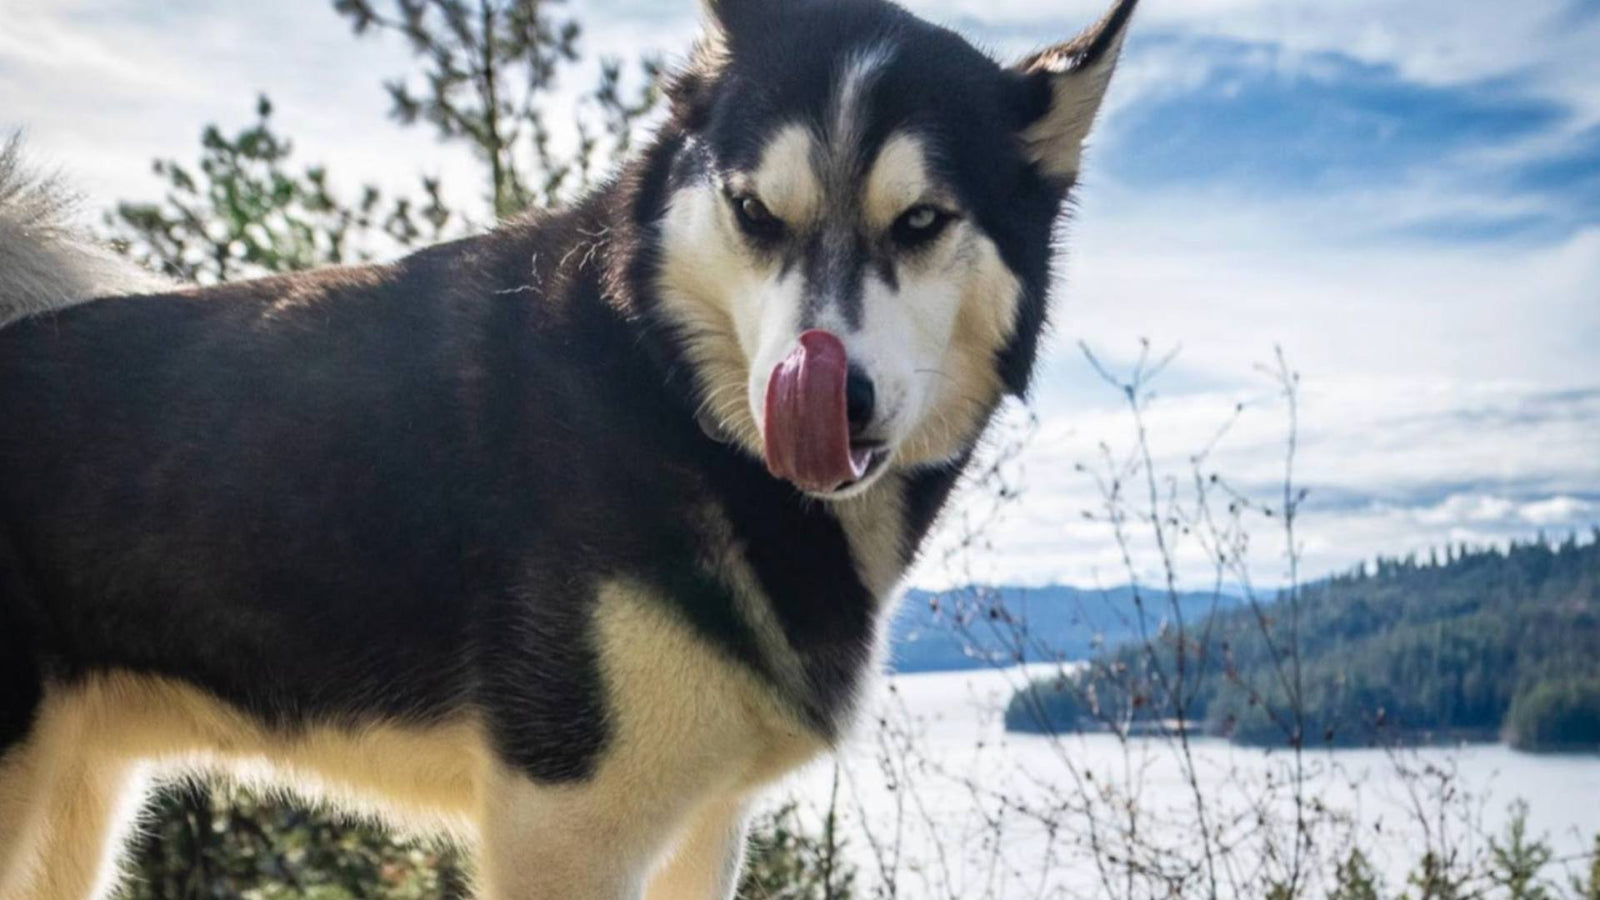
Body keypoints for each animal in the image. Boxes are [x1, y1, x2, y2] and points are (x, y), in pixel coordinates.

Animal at [0, 0, 1139, 890]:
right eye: (753, 210)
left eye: (921, 221)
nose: (820, 398)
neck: (662, 395)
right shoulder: (565, 822)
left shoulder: (704, 829)